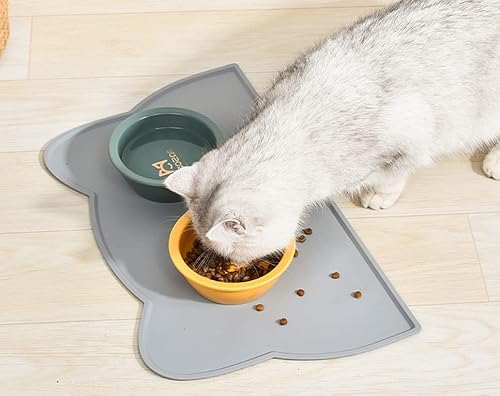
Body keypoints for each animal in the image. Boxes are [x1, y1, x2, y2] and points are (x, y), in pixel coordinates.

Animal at [166, 1, 500, 264]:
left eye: (231, 254)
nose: (234, 265)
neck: (294, 123)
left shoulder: (407, 143)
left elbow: (392, 178)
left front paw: (378, 195)